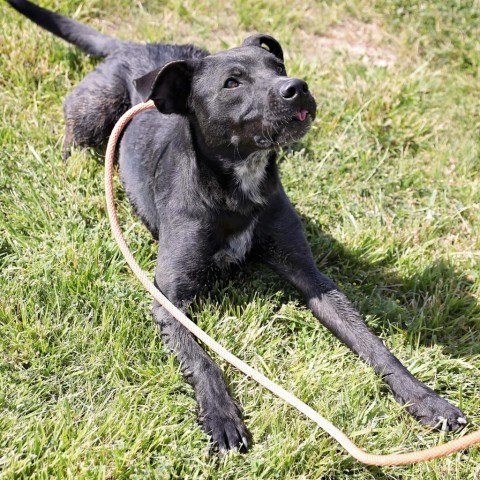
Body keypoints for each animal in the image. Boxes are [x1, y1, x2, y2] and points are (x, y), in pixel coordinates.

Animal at [6, 0, 464, 454]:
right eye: (231, 83)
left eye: (278, 66)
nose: (297, 86)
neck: (239, 187)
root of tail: (137, 47)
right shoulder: (169, 298)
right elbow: (203, 359)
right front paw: (222, 417)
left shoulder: (312, 277)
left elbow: (374, 344)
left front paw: (427, 400)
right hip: (93, 113)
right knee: (73, 142)